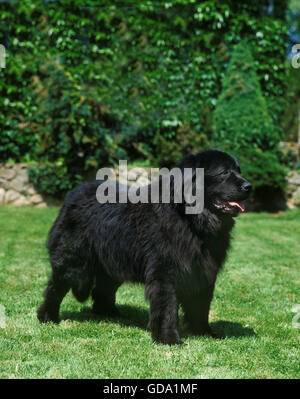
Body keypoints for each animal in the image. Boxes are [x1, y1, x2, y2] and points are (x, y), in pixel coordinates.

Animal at [37, 148, 251, 346]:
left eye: (239, 170)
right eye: (224, 172)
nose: (248, 186)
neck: (190, 219)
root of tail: (75, 192)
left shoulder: (203, 272)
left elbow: (201, 305)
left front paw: (205, 332)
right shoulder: (165, 272)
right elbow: (167, 307)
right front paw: (169, 339)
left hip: (113, 262)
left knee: (103, 289)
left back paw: (109, 313)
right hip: (73, 260)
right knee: (55, 287)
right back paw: (48, 317)